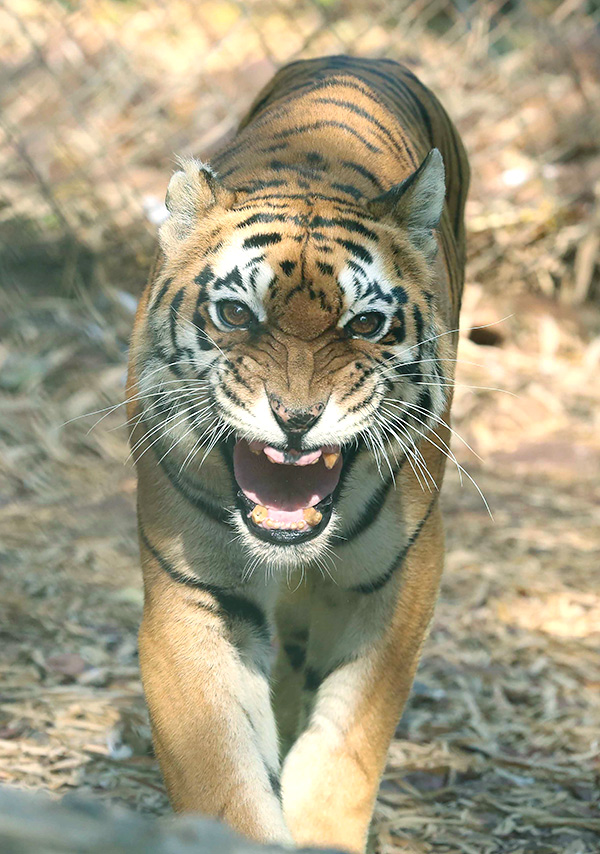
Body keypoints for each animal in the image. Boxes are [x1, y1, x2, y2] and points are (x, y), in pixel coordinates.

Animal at [127, 56, 468, 852]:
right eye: (235, 314)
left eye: (365, 324)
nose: (296, 420)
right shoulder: (194, 594)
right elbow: (221, 777)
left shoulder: (399, 581)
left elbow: (344, 750)